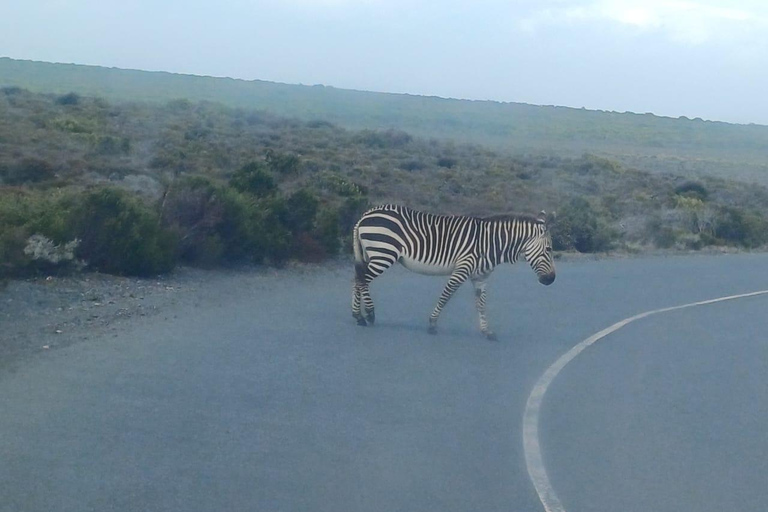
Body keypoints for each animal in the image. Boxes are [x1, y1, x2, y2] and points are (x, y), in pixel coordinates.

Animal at [352, 204, 556, 340]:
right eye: (549, 249)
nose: (551, 279)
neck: (490, 244)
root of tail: (365, 215)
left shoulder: (480, 277)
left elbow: (481, 304)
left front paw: (486, 331)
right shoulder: (462, 268)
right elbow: (446, 295)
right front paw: (432, 324)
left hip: (371, 254)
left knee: (357, 279)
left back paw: (358, 316)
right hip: (383, 254)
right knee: (362, 279)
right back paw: (368, 314)